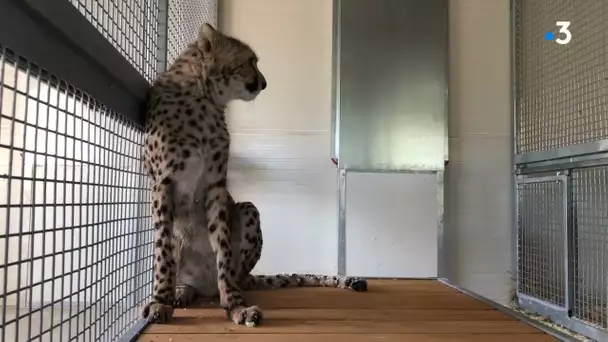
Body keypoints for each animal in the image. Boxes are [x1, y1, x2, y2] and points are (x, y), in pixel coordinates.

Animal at [141, 22, 366, 328]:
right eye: (249, 61)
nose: (264, 82)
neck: (205, 99)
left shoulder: (216, 186)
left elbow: (223, 247)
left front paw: (235, 305)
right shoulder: (162, 184)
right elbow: (163, 249)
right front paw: (160, 301)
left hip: (248, 210)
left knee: (233, 270)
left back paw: (226, 291)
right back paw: (182, 290)